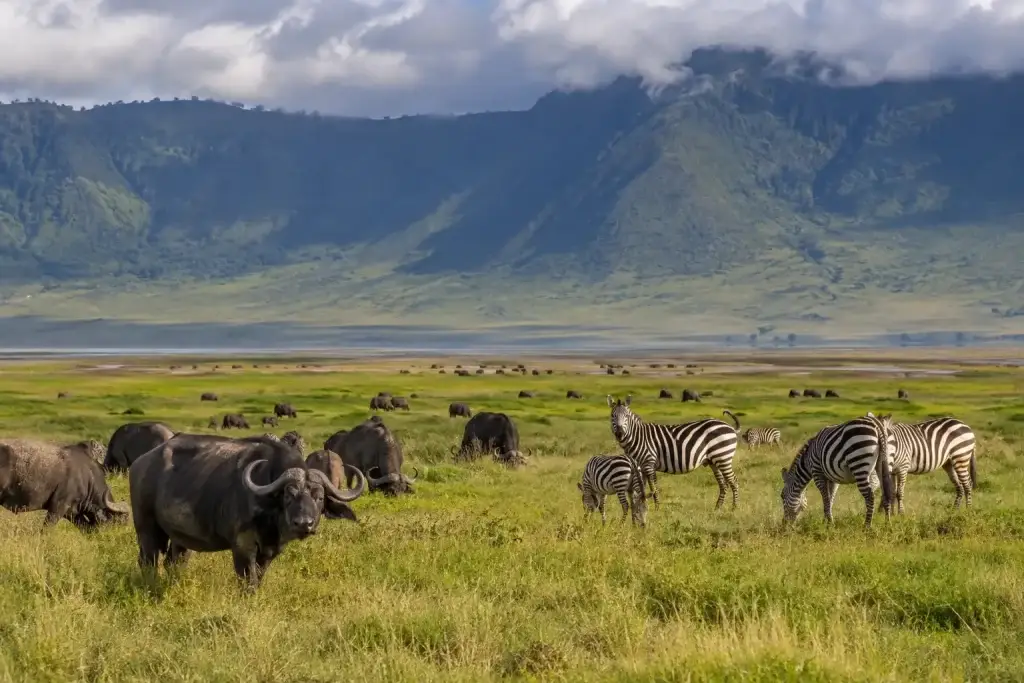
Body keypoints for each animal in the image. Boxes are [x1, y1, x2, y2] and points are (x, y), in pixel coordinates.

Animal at [128, 434, 366, 591]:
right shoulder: (242, 546)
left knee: (173, 562)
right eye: (288, 495)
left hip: (180, 538)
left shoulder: (270, 551)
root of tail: (141, 462)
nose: (304, 523)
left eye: (319, 497)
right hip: (146, 528)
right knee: (148, 561)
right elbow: (248, 581)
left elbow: (258, 578)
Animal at [607, 394, 741, 510]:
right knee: (723, 484)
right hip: (714, 461)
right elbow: (643, 488)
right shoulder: (640, 467)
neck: (638, 437)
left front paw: (657, 508)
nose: (619, 433)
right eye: (613, 416)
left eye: (626, 416)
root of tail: (730, 426)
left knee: (734, 481)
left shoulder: (649, 463)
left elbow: (654, 487)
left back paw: (734, 508)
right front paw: (643, 507)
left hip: (723, 457)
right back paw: (718, 508)